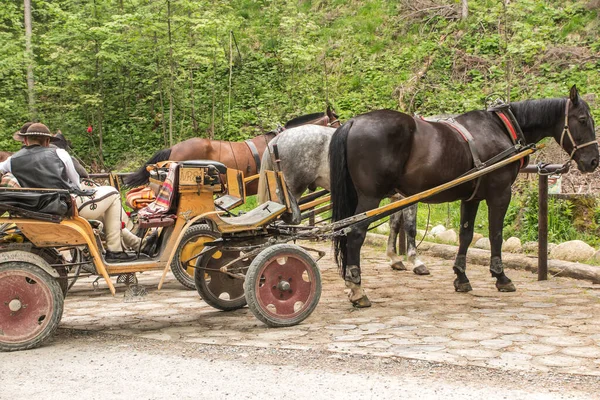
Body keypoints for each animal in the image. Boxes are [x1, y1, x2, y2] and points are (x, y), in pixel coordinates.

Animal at [255, 125, 428, 276]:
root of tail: (279, 138)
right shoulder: (409, 196)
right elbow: (410, 227)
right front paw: (416, 262)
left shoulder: (397, 197)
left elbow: (395, 225)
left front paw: (394, 258)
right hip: (291, 191)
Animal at [330, 86, 596, 308]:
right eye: (583, 120)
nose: (594, 161)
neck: (501, 127)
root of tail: (353, 122)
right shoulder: (500, 193)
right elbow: (496, 235)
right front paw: (501, 277)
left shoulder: (472, 197)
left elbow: (466, 235)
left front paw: (461, 276)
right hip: (370, 198)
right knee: (355, 234)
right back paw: (357, 289)